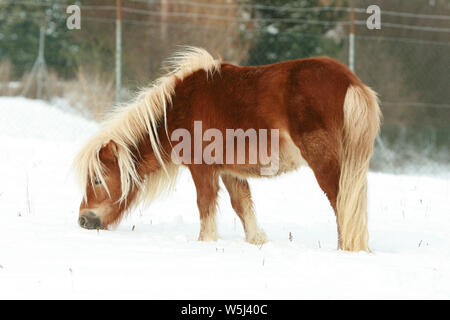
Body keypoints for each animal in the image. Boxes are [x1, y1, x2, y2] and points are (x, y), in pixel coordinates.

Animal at [73, 47, 380, 252]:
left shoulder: (202, 169)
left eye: (98, 180)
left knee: (341, 203)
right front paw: (257, 240)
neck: (179, 107)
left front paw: (205, 241)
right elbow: (242, 205)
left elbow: (205, 204)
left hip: (325, 163)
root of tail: (350, 81)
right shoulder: (231, 171)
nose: (83, 220)